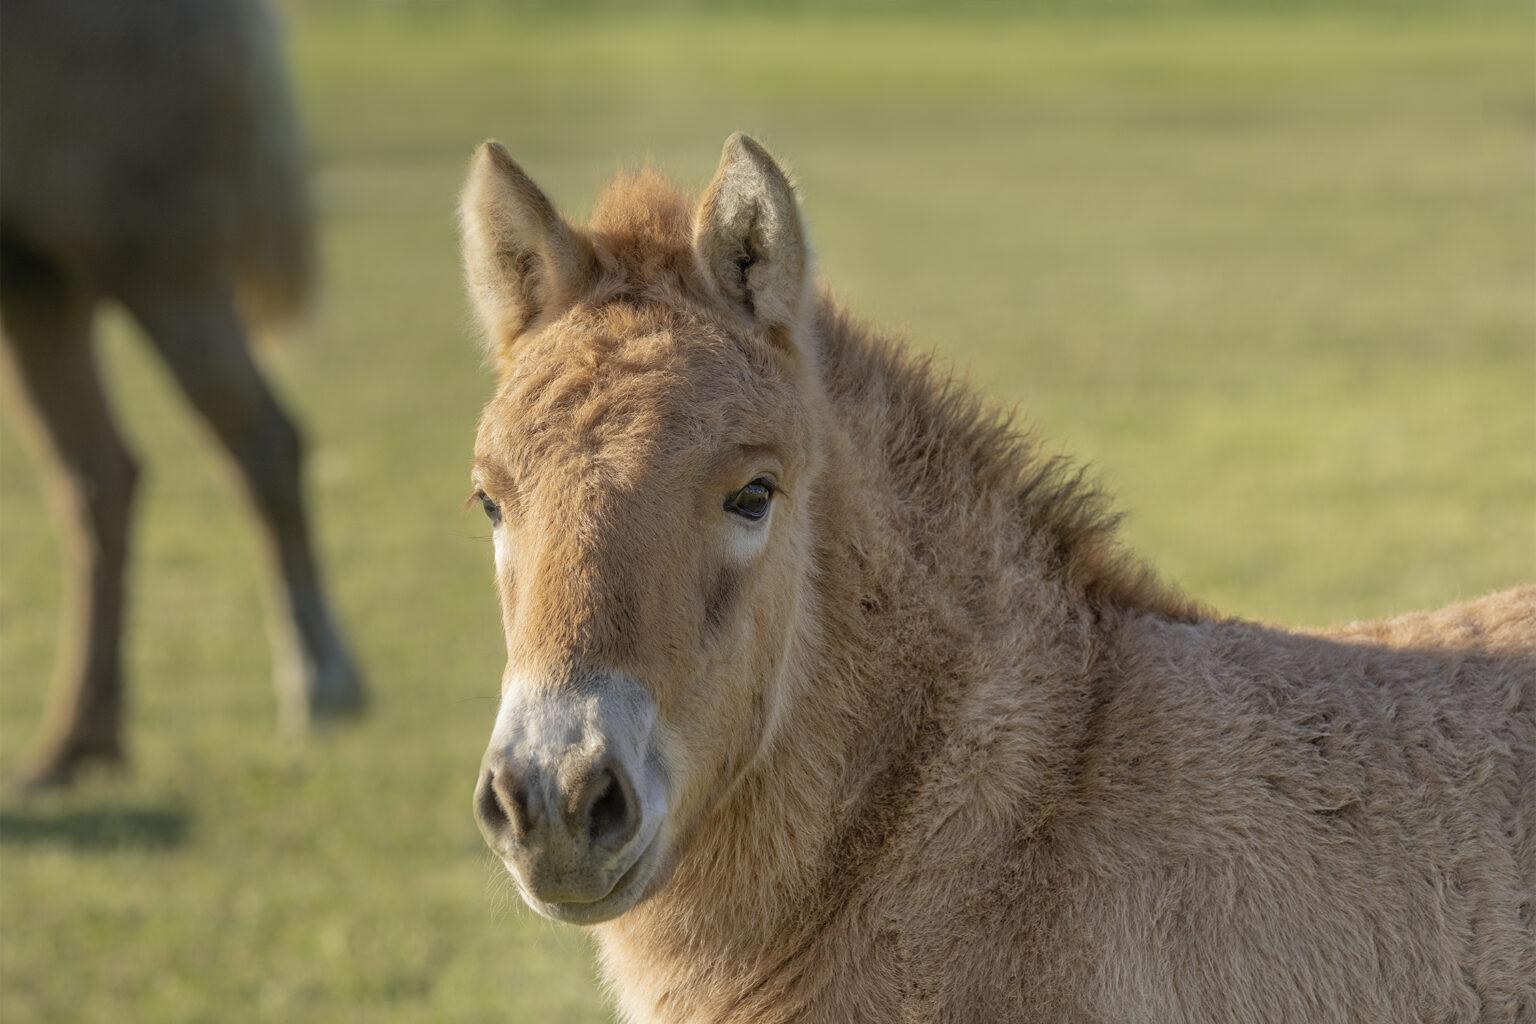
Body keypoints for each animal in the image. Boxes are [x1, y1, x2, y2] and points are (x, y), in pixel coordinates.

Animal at [0, 0, 365, 789]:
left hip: (158, 266)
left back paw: (319, 684)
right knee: (99, 479)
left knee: (263, 444)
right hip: (40, 282)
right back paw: (76, 741)